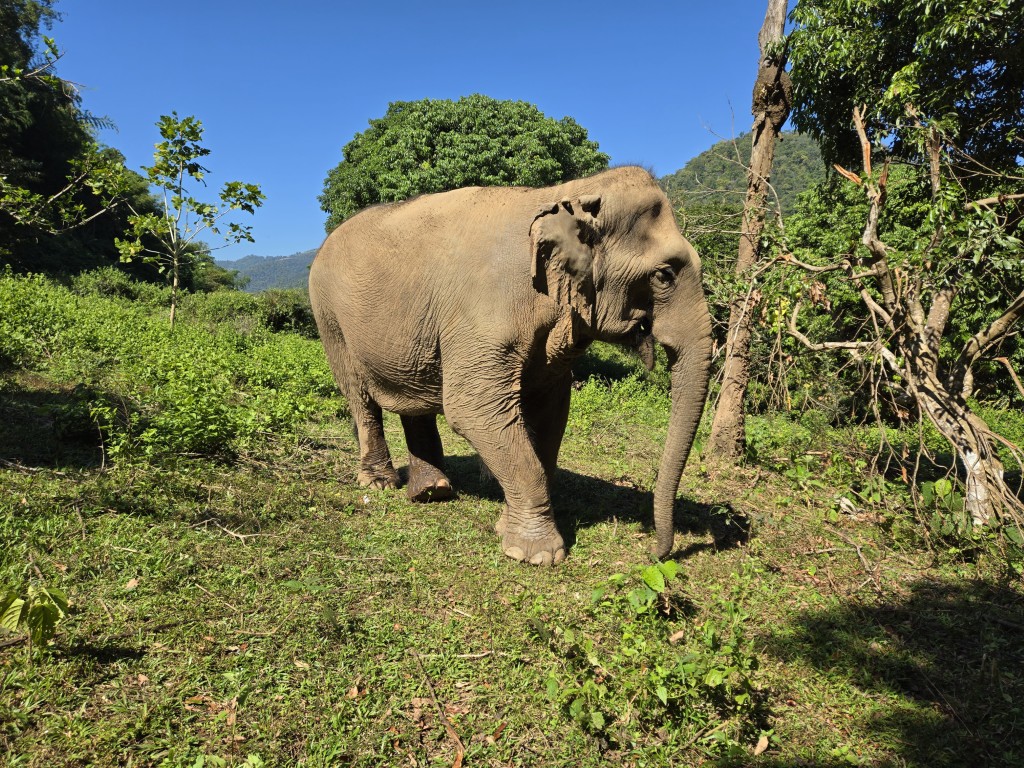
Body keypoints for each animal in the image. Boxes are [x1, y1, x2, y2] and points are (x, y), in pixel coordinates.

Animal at [309, 166, 712, 565]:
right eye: (664, 275)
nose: (655, 555)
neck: (569, 193)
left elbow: (549, 411)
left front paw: (506, 527)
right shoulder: (484, 312)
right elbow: (472, 408)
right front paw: (537, 555)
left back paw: (432, 492)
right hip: (329, 318)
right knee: (359, 396)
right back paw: (380, 483)